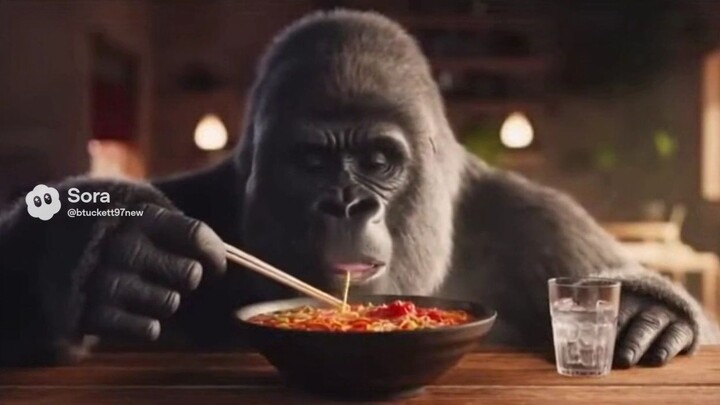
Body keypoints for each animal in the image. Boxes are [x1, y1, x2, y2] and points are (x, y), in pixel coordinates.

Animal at [0, 10, 718, 368]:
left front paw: (642, 312)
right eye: (312, 161)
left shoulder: (546, 224)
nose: (346, 202)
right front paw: (108, 252)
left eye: (377, 160)